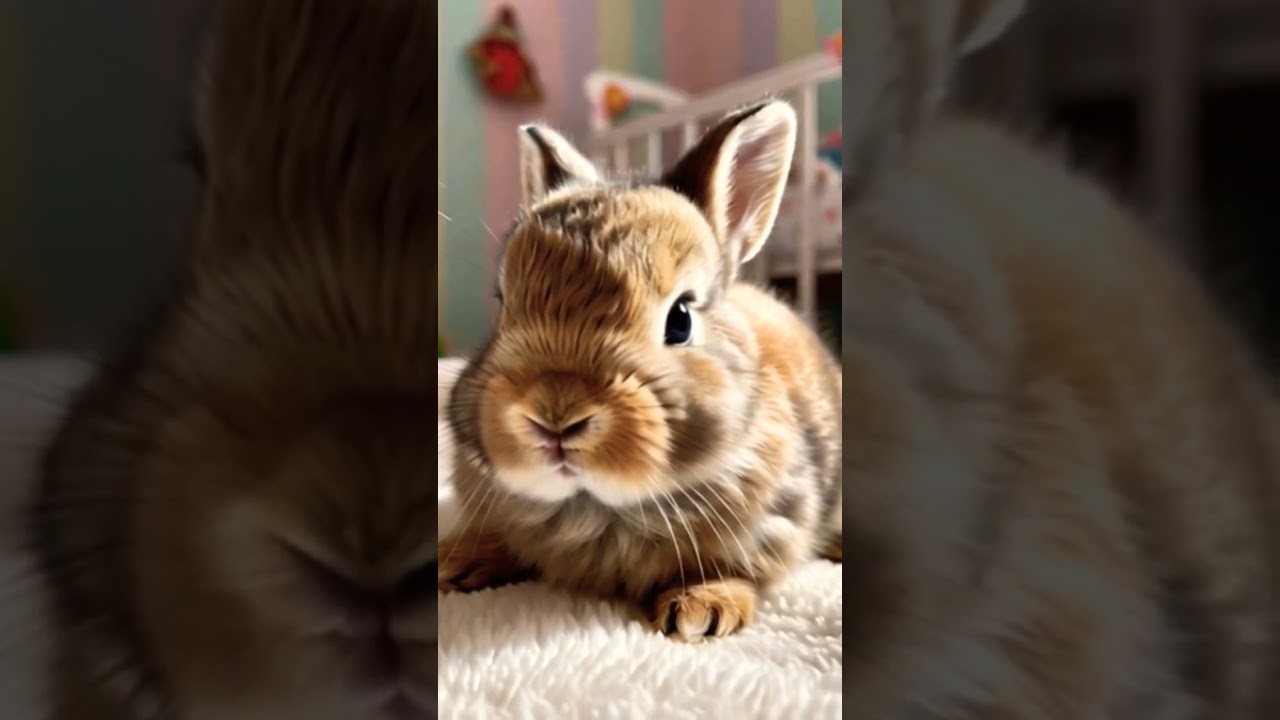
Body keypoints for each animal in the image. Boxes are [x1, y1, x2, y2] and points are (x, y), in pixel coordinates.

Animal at [437, 98, 843, 642]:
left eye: (681, 319)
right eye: (502, 305)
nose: (555, 417)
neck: (596, 508)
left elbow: (733, 570)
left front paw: (699, 610)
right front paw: (456, 562)